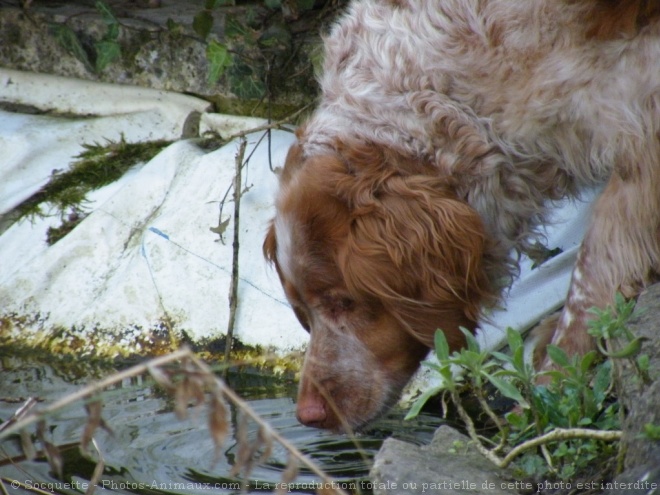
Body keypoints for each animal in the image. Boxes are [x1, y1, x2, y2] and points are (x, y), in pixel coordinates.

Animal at [262, 0, 660, 432]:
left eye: (343, 302)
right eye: (303, 311)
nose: (308, 415)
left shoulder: (641, 120)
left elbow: (594, 269)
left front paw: (553, 383)